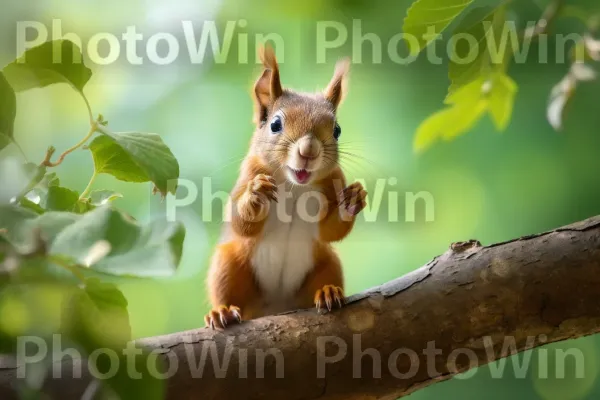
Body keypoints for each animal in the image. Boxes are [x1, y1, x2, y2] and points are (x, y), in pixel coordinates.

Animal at [205, 46, 366, 328]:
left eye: (337, 130)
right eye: (275, 125)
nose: (308, 151)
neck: (294, 186)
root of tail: (276, 307)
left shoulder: (334, 182)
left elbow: (330, 230)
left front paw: (351, 202)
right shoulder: (249, 172)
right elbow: (240, 222)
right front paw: (256, 194)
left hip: (327, 262)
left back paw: (327, 292)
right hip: (229, 263)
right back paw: (222, 311)